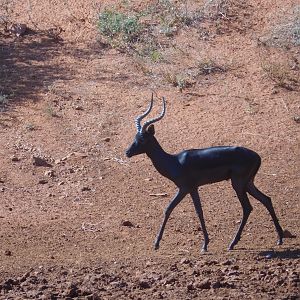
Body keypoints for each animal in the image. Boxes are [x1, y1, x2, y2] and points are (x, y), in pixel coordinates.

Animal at [125, 95, 284, 252]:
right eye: (134, 137)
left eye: (142, 139)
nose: (127, 152)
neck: (174, 162)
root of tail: (257, 156)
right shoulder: (191, 189)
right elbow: (181, 210)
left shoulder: (186, 188)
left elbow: (186, 210)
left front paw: (203, 245)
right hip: (248, 183)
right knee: (266, 199)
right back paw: (279, 239)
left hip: (238, 184)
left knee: (247, 207)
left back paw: (232, 243)